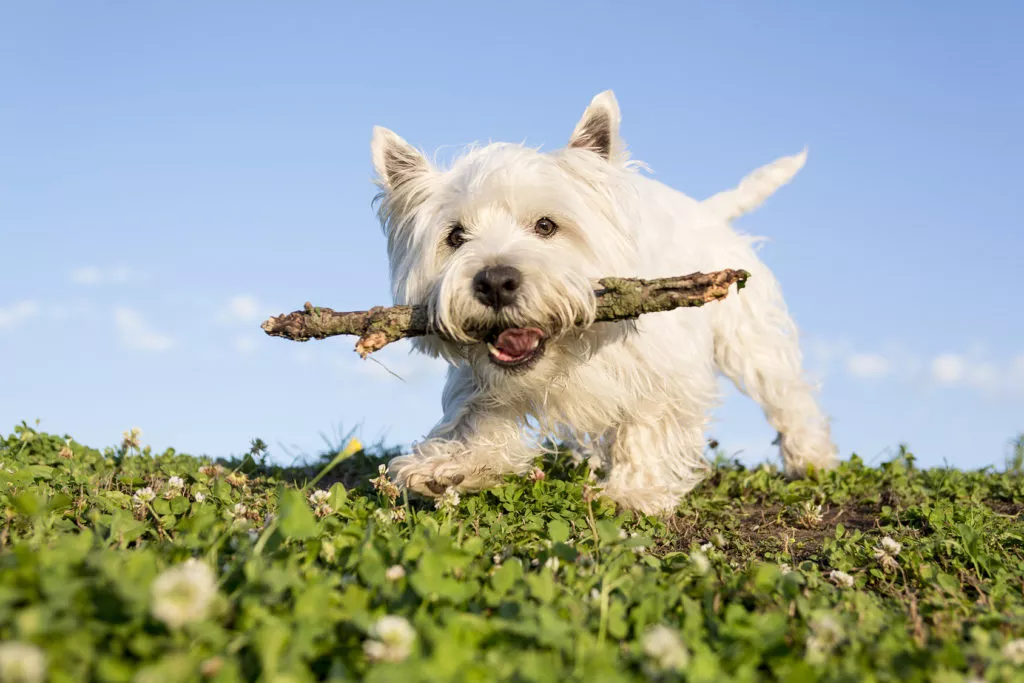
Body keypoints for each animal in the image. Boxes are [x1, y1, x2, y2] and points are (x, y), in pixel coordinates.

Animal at [372, 90, 835, 511]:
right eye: (455, 236)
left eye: (546, 225)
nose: (496, 282)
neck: (568, 352)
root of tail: (708, 212)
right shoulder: (483, 379)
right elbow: (475, 415)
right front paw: (449, 466)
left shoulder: (665, 371)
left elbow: (647, 423)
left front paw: (634, 492)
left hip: (751, 338)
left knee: (787, 394)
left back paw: (811, 459)